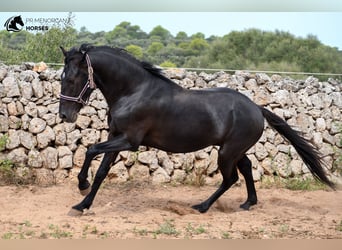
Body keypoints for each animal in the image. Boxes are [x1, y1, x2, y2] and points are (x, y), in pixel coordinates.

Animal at [58, 44, 334, 216]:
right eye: (61, 77)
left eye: (71, 78)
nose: (64, 115)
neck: (133, 91)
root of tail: (256, 107)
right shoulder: (115, 136)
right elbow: (101, 171)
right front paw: (82, 204)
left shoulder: (129, 140)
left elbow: (91, 150)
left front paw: (81, 185)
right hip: (233, 150)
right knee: (246, 168)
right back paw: (248, 203)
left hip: (226, 153)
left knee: (231, 178)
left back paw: (201, 206)